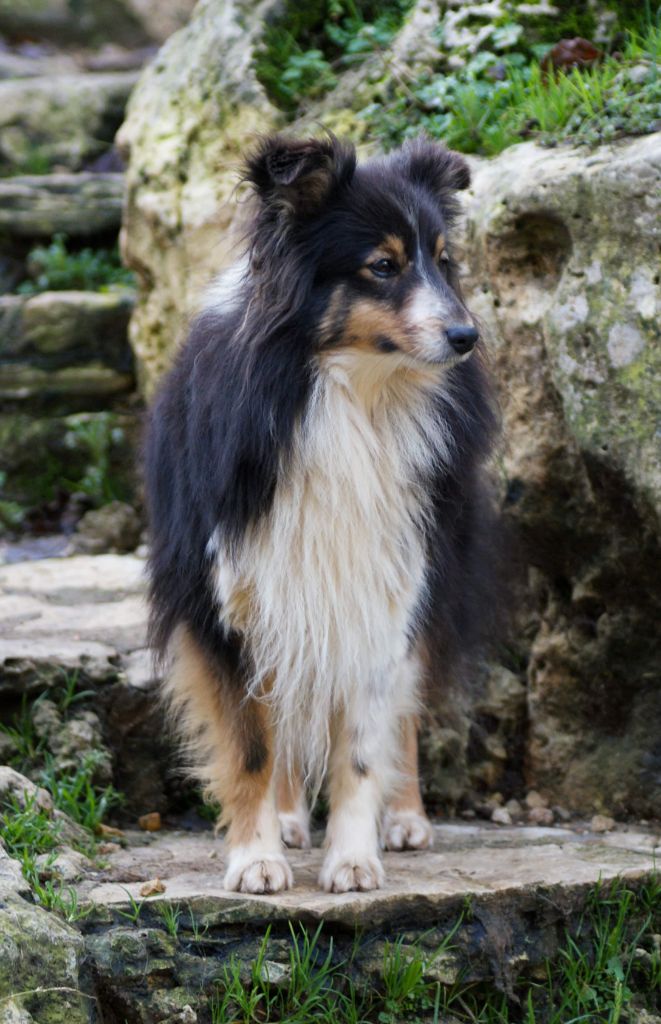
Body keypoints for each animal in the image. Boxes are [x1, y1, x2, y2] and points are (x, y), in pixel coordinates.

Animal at [145, 133, 499, 895]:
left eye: (443, 258)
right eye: (382, 266)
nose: (467, 336)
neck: (346, 396)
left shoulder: (381, 580)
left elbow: (363, 741)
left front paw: (354, 861)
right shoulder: (226, 592)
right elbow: (250, 741)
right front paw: (255, 861)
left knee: (401, 704)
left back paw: (406, 819)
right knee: (281, 706)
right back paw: (284, 819)